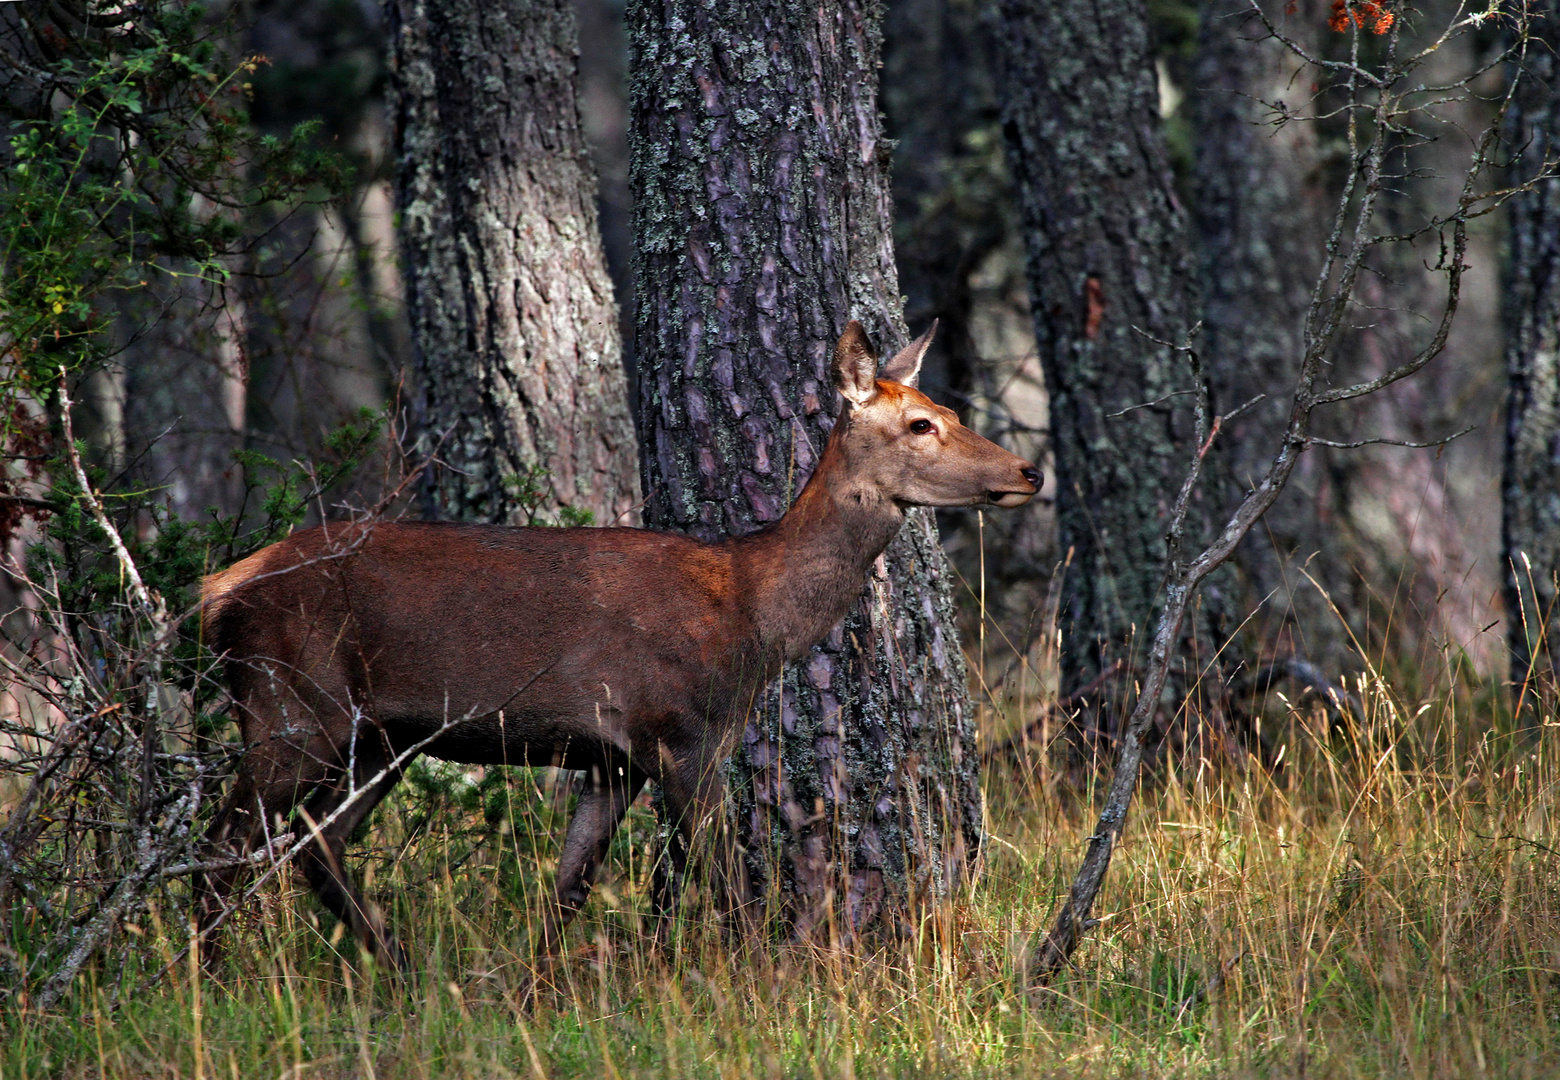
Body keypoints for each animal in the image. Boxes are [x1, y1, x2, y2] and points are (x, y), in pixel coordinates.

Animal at [195, 316, 1042, 973]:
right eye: (921, 424)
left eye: (945, 407)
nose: (1030, 470)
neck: (752, 614)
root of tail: (216, 591)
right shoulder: (679, 733)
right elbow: (723, 883)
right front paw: (761, 986)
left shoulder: (610, 762)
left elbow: (573, 893)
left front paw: (540, 995)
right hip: (290, 705)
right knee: (223, 851)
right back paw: (206, 986)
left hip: (378, 738)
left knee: (317, 845)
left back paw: (408, 974)